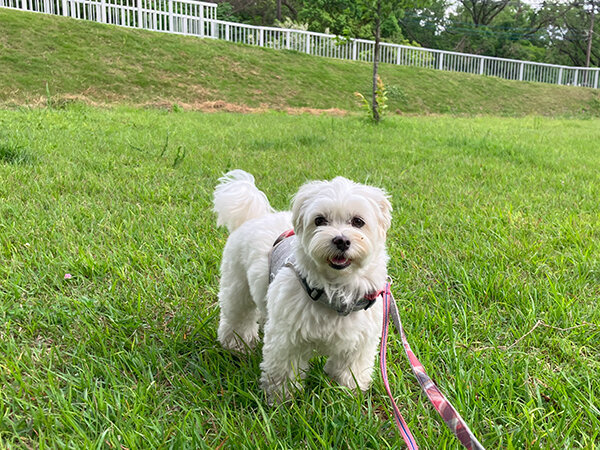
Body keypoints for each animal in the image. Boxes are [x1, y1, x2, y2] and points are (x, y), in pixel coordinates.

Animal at [213, 170, 392, 400]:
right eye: (319, 220)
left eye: (358, 222)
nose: (341, 240)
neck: (335, 291)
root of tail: (255, 217)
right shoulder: (287, 338)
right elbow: (284, 370)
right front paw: (281, 399)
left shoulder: (360, 341)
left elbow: (350, 369)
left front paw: (347, 393)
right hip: (237, 286)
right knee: (238, 317)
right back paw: (235, 345)